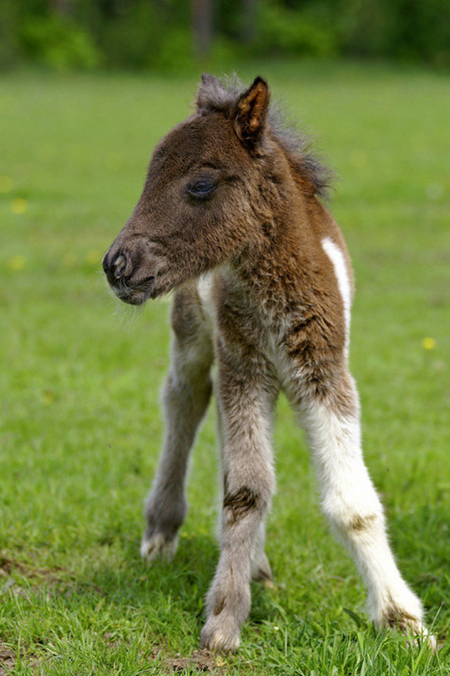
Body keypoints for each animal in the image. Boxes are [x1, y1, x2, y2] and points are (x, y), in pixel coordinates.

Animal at [102, 75, 432, 656]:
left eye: (201, 185)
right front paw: (224, 622)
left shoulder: (323, 373)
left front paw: (404, 622)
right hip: (197, 335)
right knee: (185, 400)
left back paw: (255, 563)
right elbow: (246, 489)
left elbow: (352, 502)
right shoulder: (245, 369)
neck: (274, 298)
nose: (117, 265)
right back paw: (162, 534)